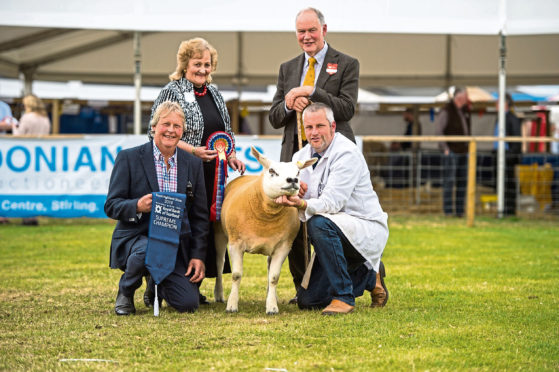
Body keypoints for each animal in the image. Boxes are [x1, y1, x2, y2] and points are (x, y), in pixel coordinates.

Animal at [215, 146, 316, 314]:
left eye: (298, 173)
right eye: (272, 171)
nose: (293, 180)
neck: (266, 216)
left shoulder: (283, 246)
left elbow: (274, 277)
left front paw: (272, 307)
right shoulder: (236, 244)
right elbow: (236, 275)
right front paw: (232, 305)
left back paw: (271, 296)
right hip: (220, 234)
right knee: (219, 263)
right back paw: (219, 295)